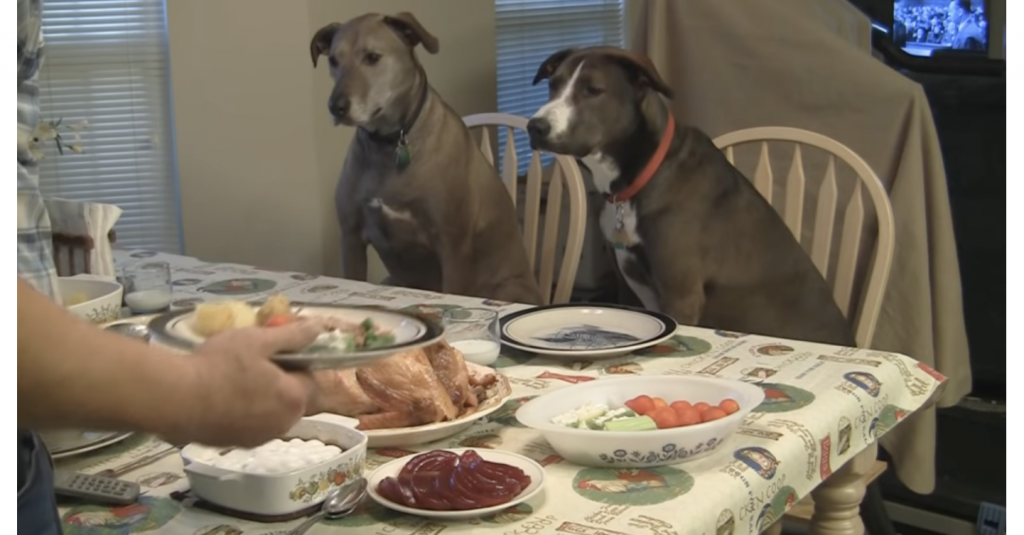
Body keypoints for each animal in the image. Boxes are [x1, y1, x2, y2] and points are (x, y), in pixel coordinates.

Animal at [311, 13, 544, 303]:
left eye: (373, 57)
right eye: (333, 60)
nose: (336, 107)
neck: (391, 143)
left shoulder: (453, 246)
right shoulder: (351, 239)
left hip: (507, 288)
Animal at [524, 46, 851, 346]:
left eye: (593, 90)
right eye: (554, 85)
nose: (535, 126)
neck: (644, 175)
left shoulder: (681, 294)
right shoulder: (626, 285)